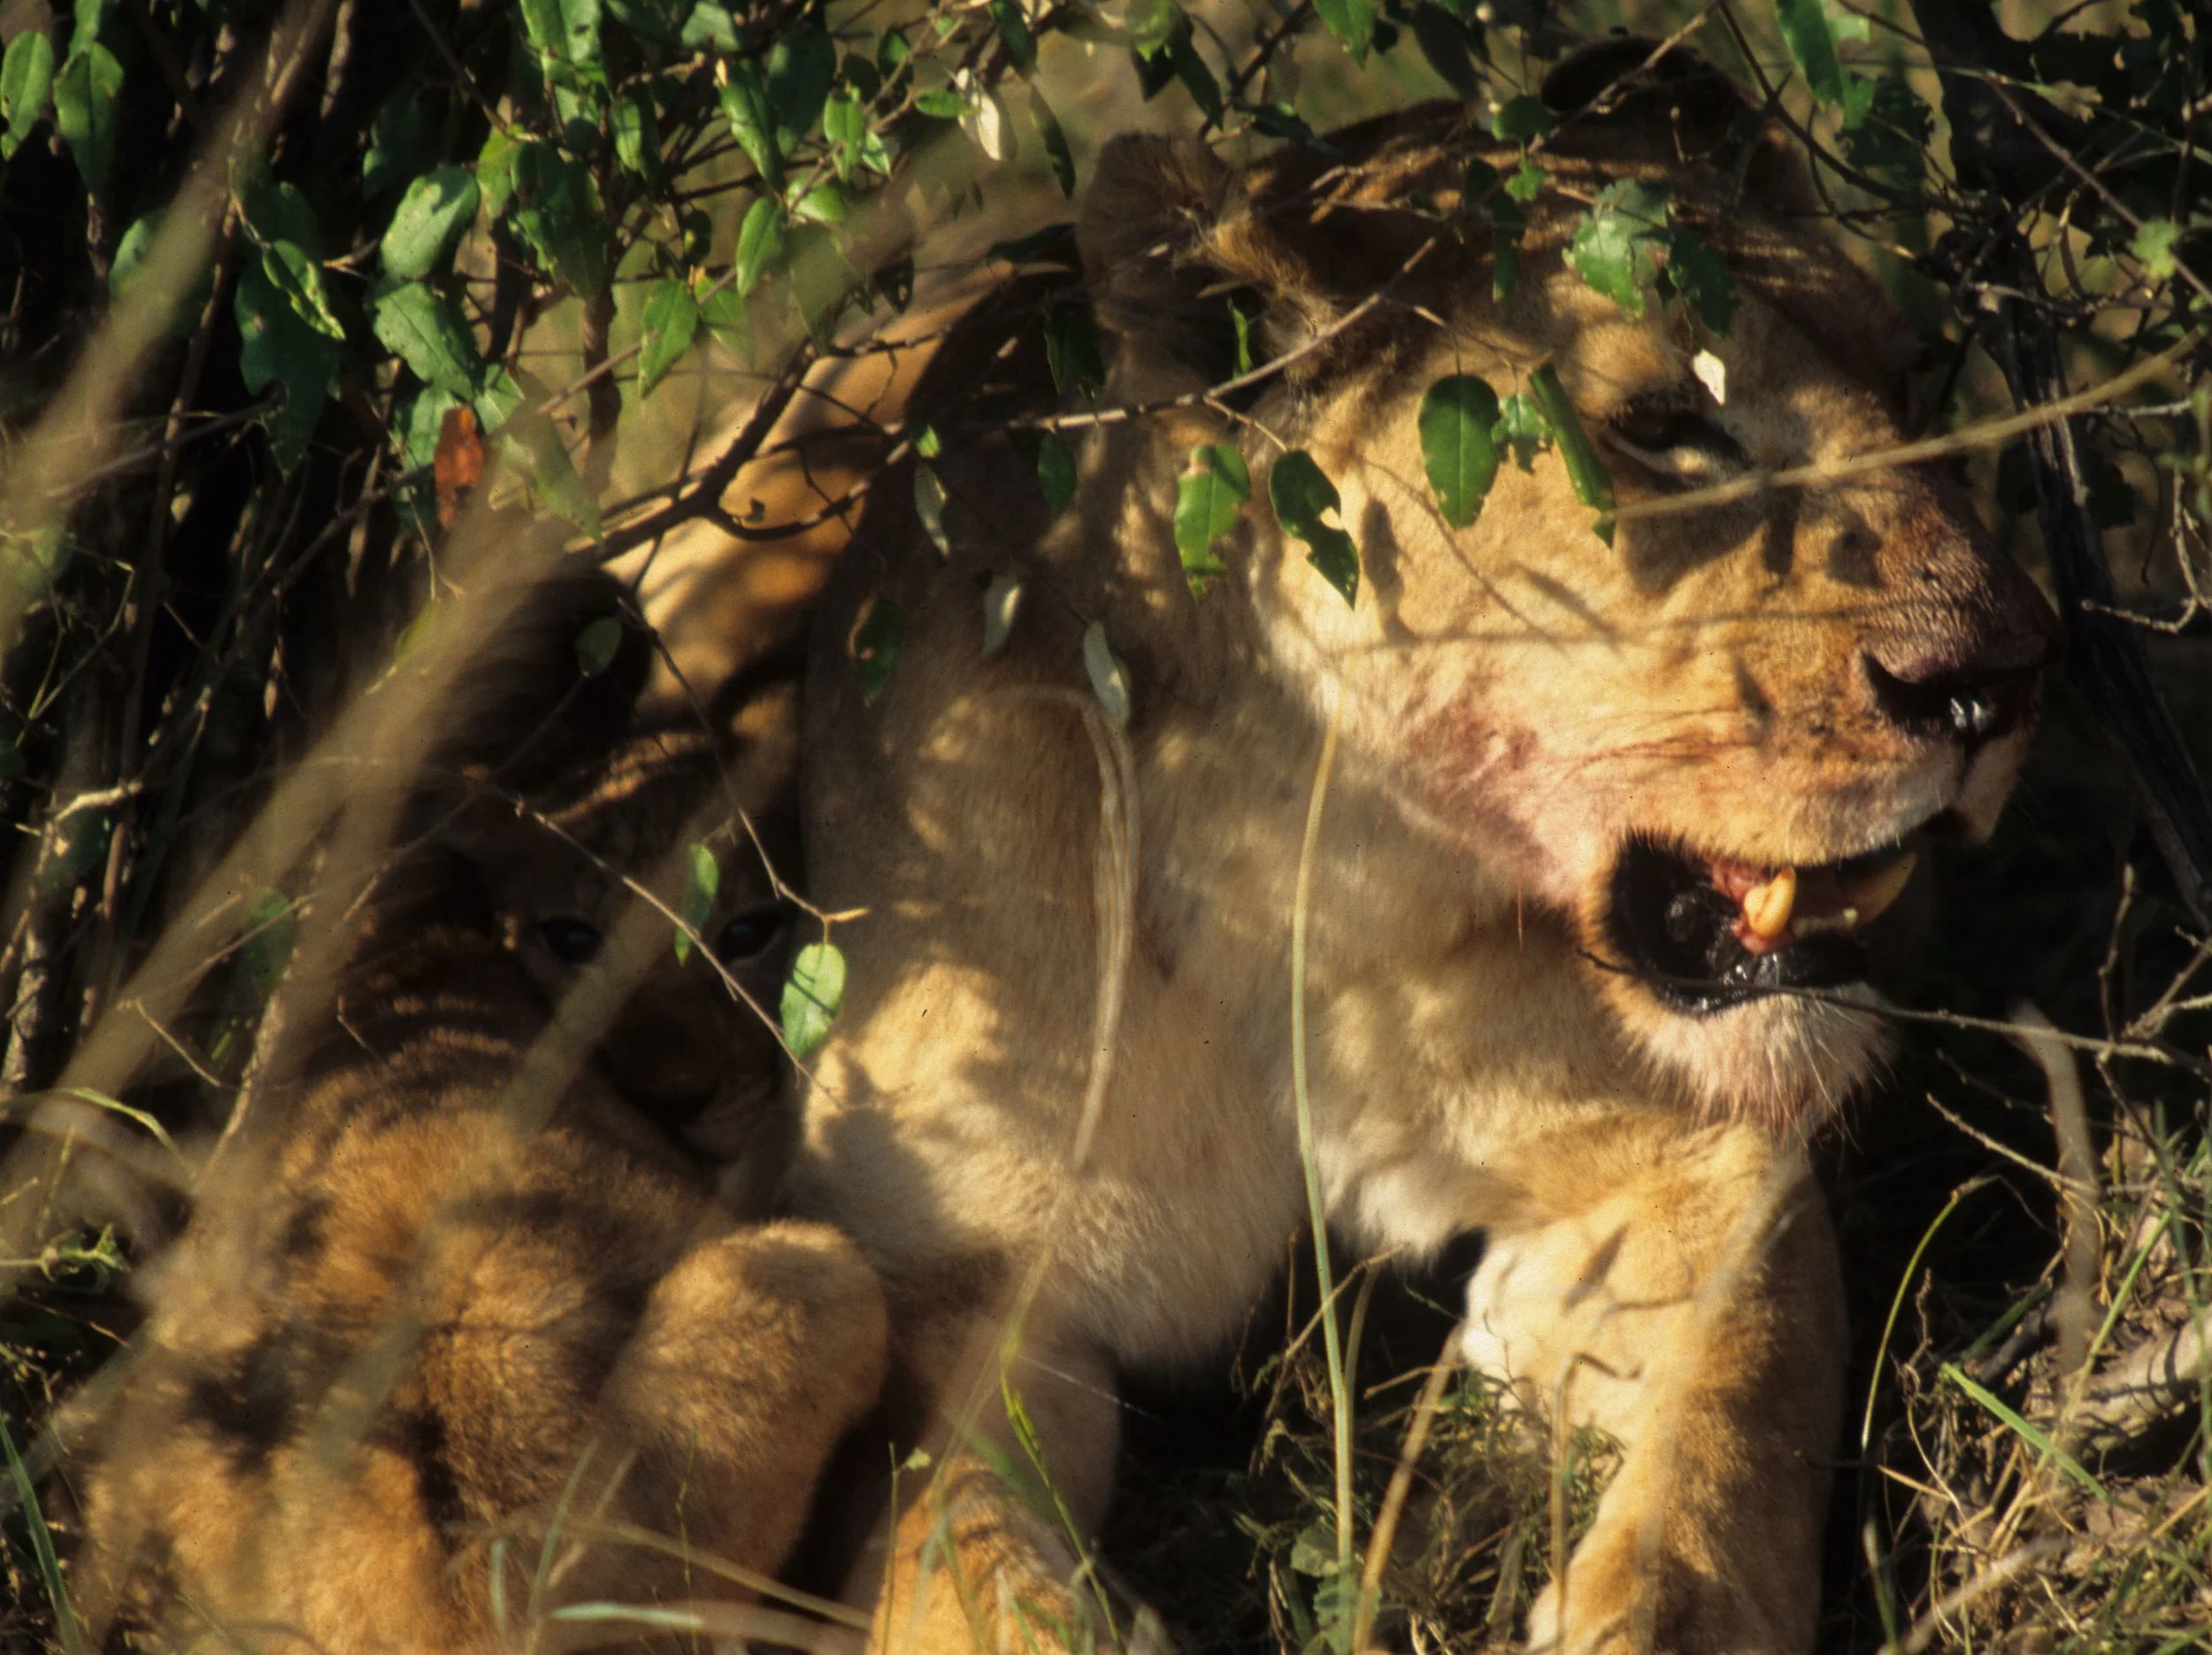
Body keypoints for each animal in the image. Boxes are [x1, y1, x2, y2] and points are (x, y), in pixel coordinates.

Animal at [74, 565, 886, 1654]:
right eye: (575, 939)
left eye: (752, 931)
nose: (674, 1093)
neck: (425, 949)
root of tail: (445, 1613)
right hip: (801, 1278)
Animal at [788, 40, 2056, 1655]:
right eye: (1667, 434)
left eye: (1908, 386)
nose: (2001, 682)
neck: (1301, 899)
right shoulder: (960, 1292)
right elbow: (960, 1561)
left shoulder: (1680, 1163)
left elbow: (1729, 1445)